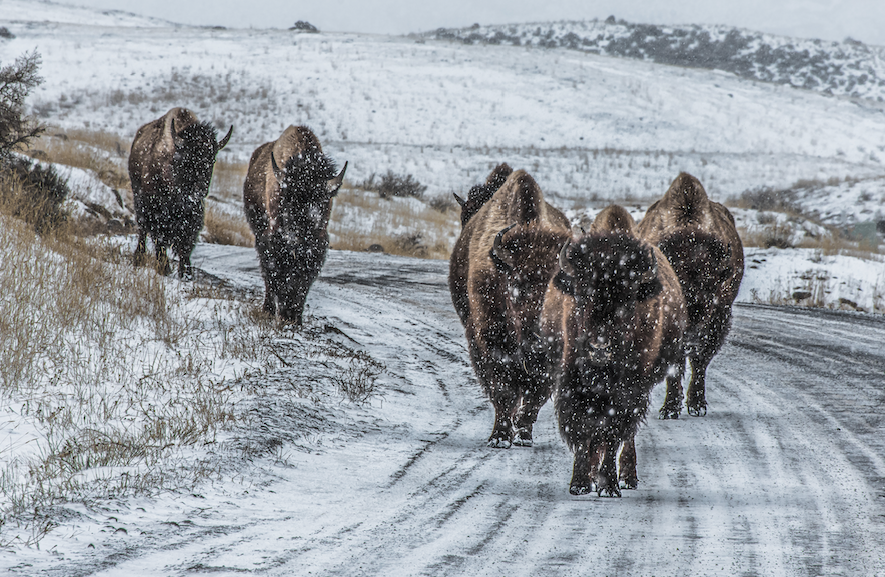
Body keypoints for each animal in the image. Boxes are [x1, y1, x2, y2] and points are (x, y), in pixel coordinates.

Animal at [129, 108, 233, 280]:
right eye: (188, 159)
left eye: (212, 160)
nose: (200, 190)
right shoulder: (156, 212)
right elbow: (160, 240)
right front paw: (165, 268)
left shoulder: (192, 217)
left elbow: (186, 245)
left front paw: (186, 273)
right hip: (139, 201)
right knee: (142, 231)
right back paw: (138, 258)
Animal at [245, 125, 348, 324]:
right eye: (287, 199)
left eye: (322, 201)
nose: (296, 238)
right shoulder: (273, 241)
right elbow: (275, 275)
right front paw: (280, 312)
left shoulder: (316, 248)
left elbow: (302, 282)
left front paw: (294, 317)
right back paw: (269, 309)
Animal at [452, 169, 568, 448]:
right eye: (516, 284)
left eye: (558, 290)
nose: (538, 339)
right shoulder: (487, 341)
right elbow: (503, 390)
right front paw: (500, 437)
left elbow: (536, 392)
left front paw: (523, 434)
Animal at [544, 205, 688, 492]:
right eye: (581, 294)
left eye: (629, 299)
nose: (599, 348)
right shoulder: (571, 382)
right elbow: (583, 429)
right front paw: (580, 483)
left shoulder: (629, 390)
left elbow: (612, 433)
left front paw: (609, 485)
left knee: (626, 435)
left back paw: (627, 477)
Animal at [636, 172, 744, 418]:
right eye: (676, 292)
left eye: (712, 290)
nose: (692, 337)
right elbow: (675, 365)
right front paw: (669, 409)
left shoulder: (719, 316)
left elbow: (700, 361)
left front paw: (697, 405)